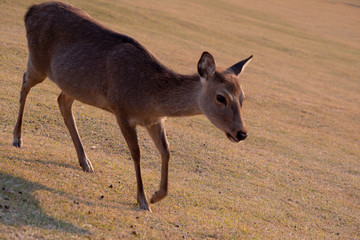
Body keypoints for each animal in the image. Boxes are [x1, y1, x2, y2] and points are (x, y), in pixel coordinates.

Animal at [12, 1, 252, 210]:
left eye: (242, 97)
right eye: (221, 97)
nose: (242, 133)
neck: (149, 97)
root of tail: (30, 11)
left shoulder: (154, 121)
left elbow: (166, 151)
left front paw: (156, 196)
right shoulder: (122, 111)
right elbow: (136, 153)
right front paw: (143, 200)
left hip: (73, 84)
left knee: (62, 101)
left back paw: (85, 162)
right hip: (38, 61)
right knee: (25, 84)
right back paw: (17, 138)